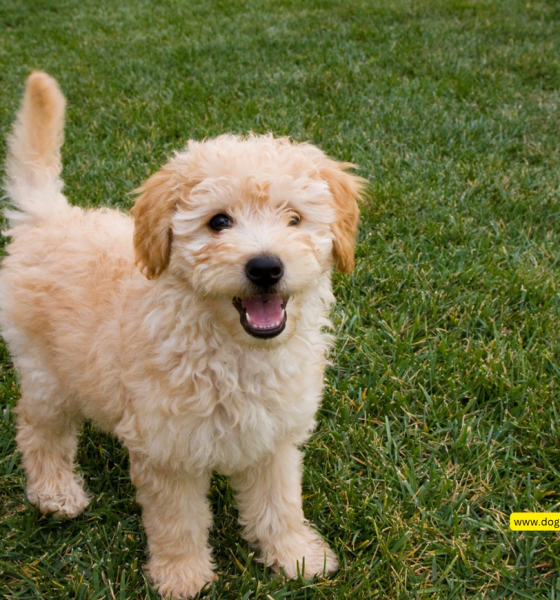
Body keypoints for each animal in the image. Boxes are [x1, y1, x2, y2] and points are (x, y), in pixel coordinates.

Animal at [0, 72, 364, 596]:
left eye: (294, 218)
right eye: (218, 222)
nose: (266, 267)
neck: (232, 351)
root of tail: (50, 217)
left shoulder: (272, 438)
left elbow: (280, 504)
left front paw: (297, 557)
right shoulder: (168, 452)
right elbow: (178, 521)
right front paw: (183, 575)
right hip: (46, 374)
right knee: (36, 429)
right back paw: (56, 493)